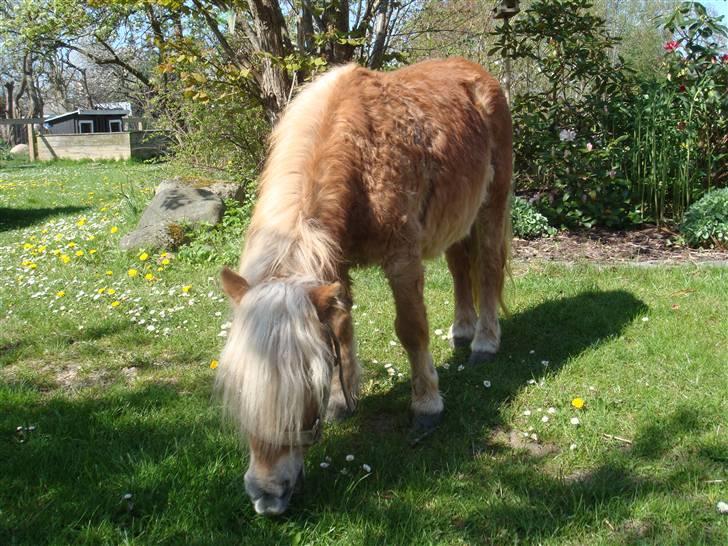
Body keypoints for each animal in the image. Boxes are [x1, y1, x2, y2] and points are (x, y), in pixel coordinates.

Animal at [216, 57, 512, 512]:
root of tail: (478, 74)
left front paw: (427, 406)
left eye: (304, 397)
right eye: (241, 388)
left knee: (489, 269)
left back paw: (483, 342)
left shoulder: (402, 260)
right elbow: (340, 330)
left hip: (493, 202)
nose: (266, 496)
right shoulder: (332, 267)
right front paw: (343, 401)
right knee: (461, 267)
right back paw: (462, 330)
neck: (355, 149)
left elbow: (412, 331)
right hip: (455, 218)